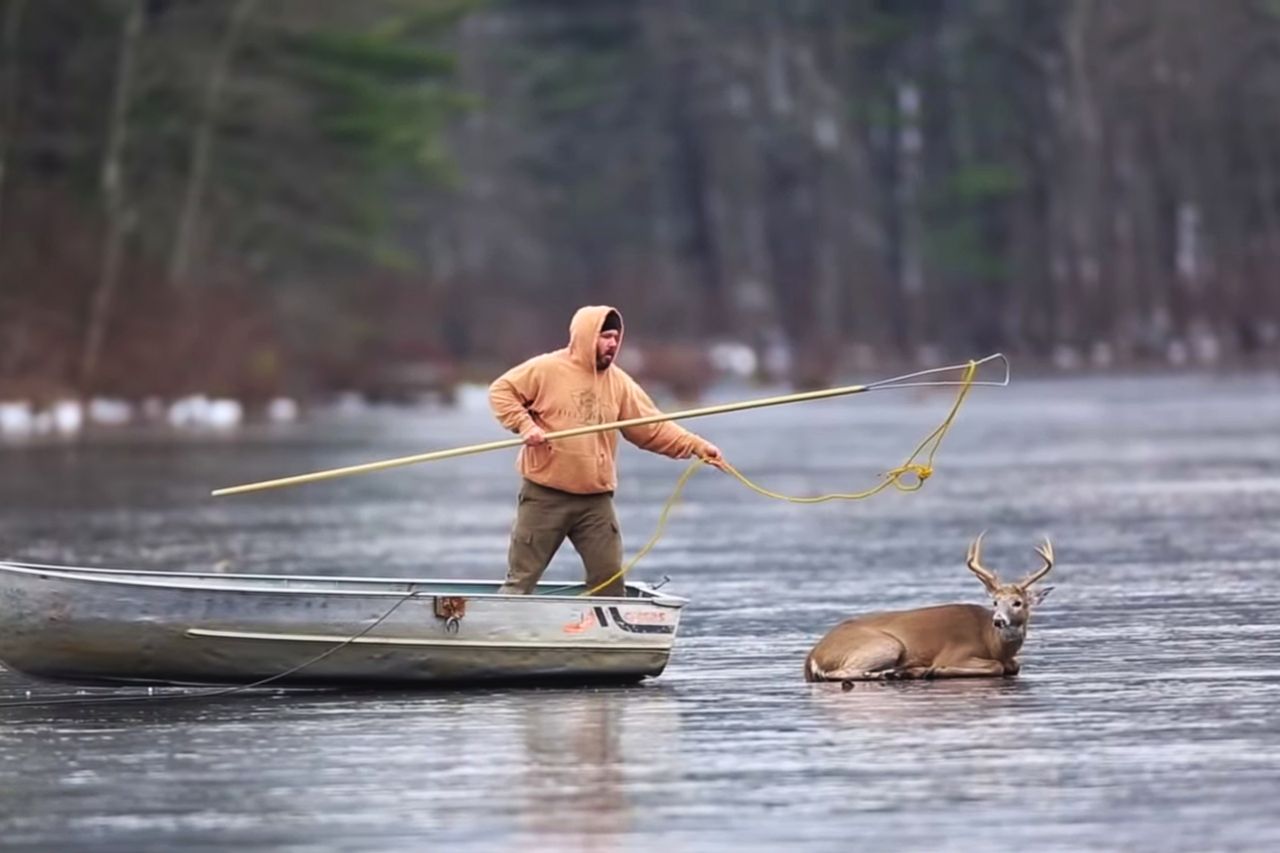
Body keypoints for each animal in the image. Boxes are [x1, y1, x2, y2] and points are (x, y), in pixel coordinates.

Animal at [803, 532, 1054, 686]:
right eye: (995, 602)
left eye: (1017, 602)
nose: (999, 620)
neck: (992, 642)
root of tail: (814, 655)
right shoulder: (956, 652)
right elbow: (997, 667)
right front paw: (934, 670)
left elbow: (1013, 666)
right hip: (885, 644)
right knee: (839, 672)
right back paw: (900, 672)